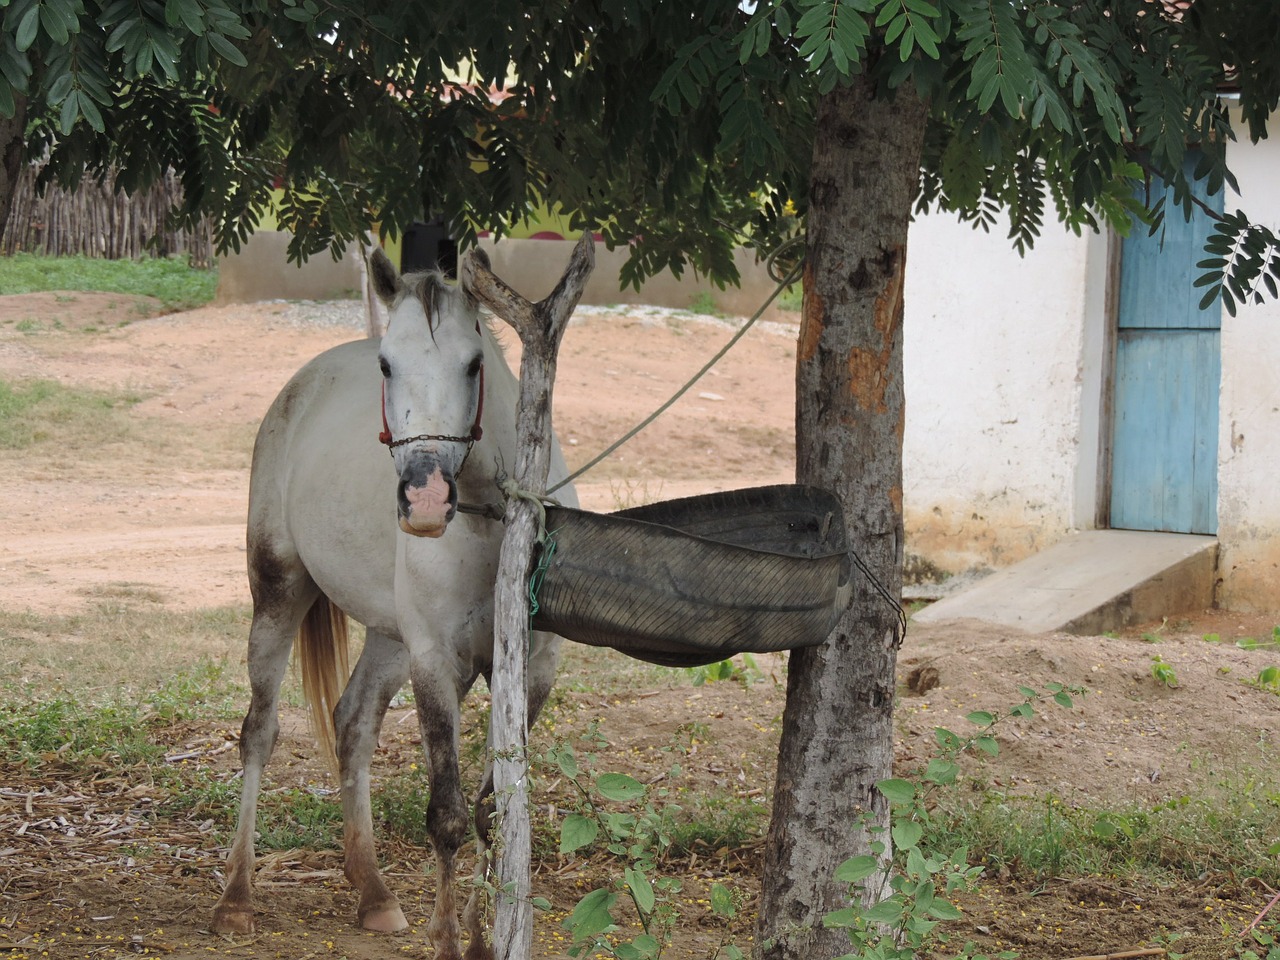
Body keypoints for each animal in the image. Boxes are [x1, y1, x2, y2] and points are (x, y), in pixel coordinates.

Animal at [211, 249, 576, 960]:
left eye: (474, 362)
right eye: (387, 364)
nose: (425, 499)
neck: (493, 522)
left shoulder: (530, 671)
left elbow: (494, 808)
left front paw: (481, 937)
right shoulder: (436, 662)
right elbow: (449, 815)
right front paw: (449, 940)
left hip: (389, 637)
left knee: (353, 724)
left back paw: (374, 892)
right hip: (279, 593)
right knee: (259, 731)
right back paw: (236, 898)